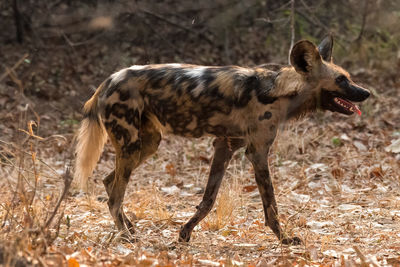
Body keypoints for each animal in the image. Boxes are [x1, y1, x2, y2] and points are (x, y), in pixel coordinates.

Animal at [74, 35, 368, 245]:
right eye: (341, 80)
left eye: (349, 78)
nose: (366, 92)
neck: (279, 91)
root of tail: (108, 81)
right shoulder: (257, 152)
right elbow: (271, 205)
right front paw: (284, 239)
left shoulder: (225, 146)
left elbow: (208, 199)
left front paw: (185, 233)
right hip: (131, 145)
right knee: (114, 198)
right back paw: (127, 236)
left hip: (146, 144)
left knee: (109, 182)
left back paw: (131, 228)